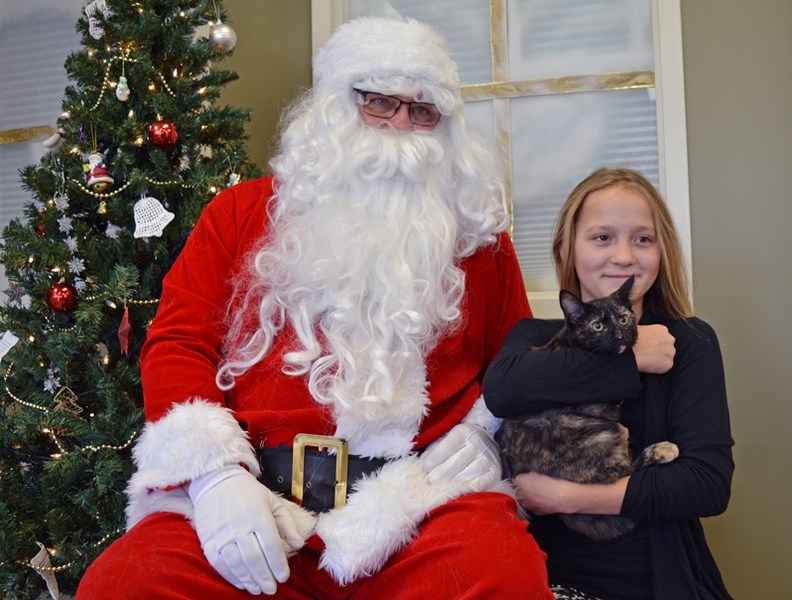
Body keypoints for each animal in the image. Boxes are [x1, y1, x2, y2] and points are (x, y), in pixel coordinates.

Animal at [498, 276, 676, 544]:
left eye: (623, 319)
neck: (568, 342)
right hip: (595, 435)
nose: (620, 335)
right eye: (597, 326)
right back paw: (663, 450)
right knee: (624, 475)